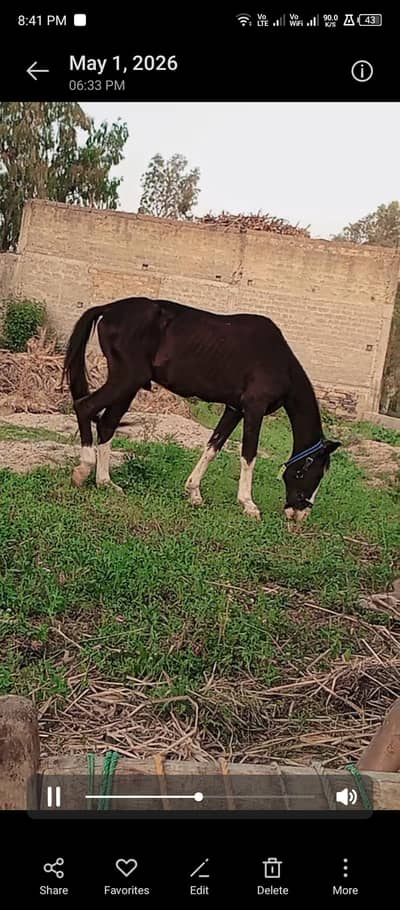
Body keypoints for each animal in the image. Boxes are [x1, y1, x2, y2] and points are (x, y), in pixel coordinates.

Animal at [63, 296, 341, 522]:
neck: (279, 361)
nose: (299, 513)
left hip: (128, 386)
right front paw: (249, 505)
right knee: (85, 407)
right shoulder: (254, 408)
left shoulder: (235, 409)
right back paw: (83, 470)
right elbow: (249, 454)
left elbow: (212, 447)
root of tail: (108, 308)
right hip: (126, 380)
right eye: (312, 472)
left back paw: (106, 482)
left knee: (107, 424)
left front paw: (194, 492)